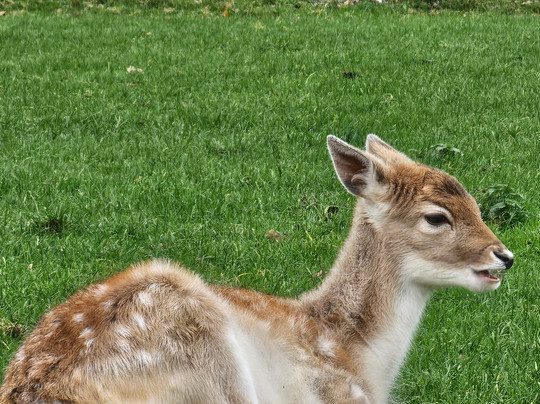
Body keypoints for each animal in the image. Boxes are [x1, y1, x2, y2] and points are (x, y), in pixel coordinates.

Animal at [1, 135, 514, 404]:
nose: (504, 257)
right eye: (437, 217)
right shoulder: (334, 392)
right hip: (208, 360)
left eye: (473, 201)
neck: (361, 357)